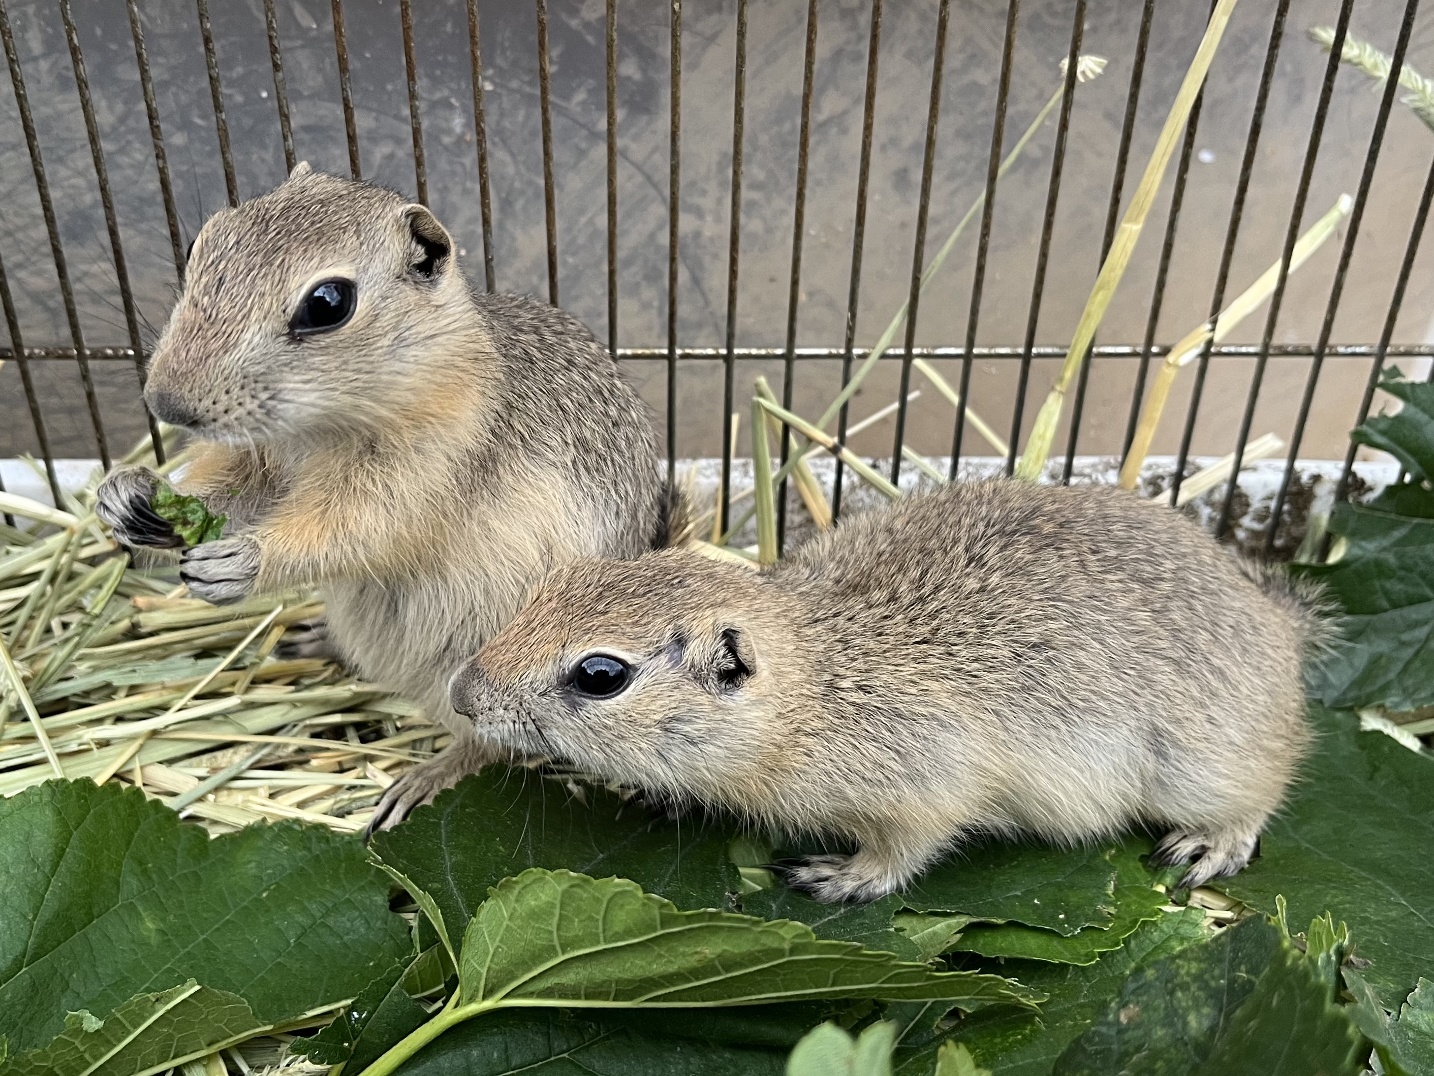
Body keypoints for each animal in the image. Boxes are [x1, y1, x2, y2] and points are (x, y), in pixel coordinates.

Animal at [101, 162, 671, 832]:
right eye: (198, 243)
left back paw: (418, 784)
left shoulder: (410, 475)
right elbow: (226, 487)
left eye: (328, 303)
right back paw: (315, 640)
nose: (165, 402)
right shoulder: (261, 457)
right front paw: (130, 497)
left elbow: (347, 530)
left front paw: (240, 561)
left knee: (490, 744)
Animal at [453, 479, 1325, 900]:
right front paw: (659, 794)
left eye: (601, 675)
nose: (465, 694)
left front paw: (840, 878)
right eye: (553, 586)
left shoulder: (931, 778)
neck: (817, 690)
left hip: (1204, 766)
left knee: (1264, 791)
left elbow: (908, 845)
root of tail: (1279, 627)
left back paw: (1212, 845)